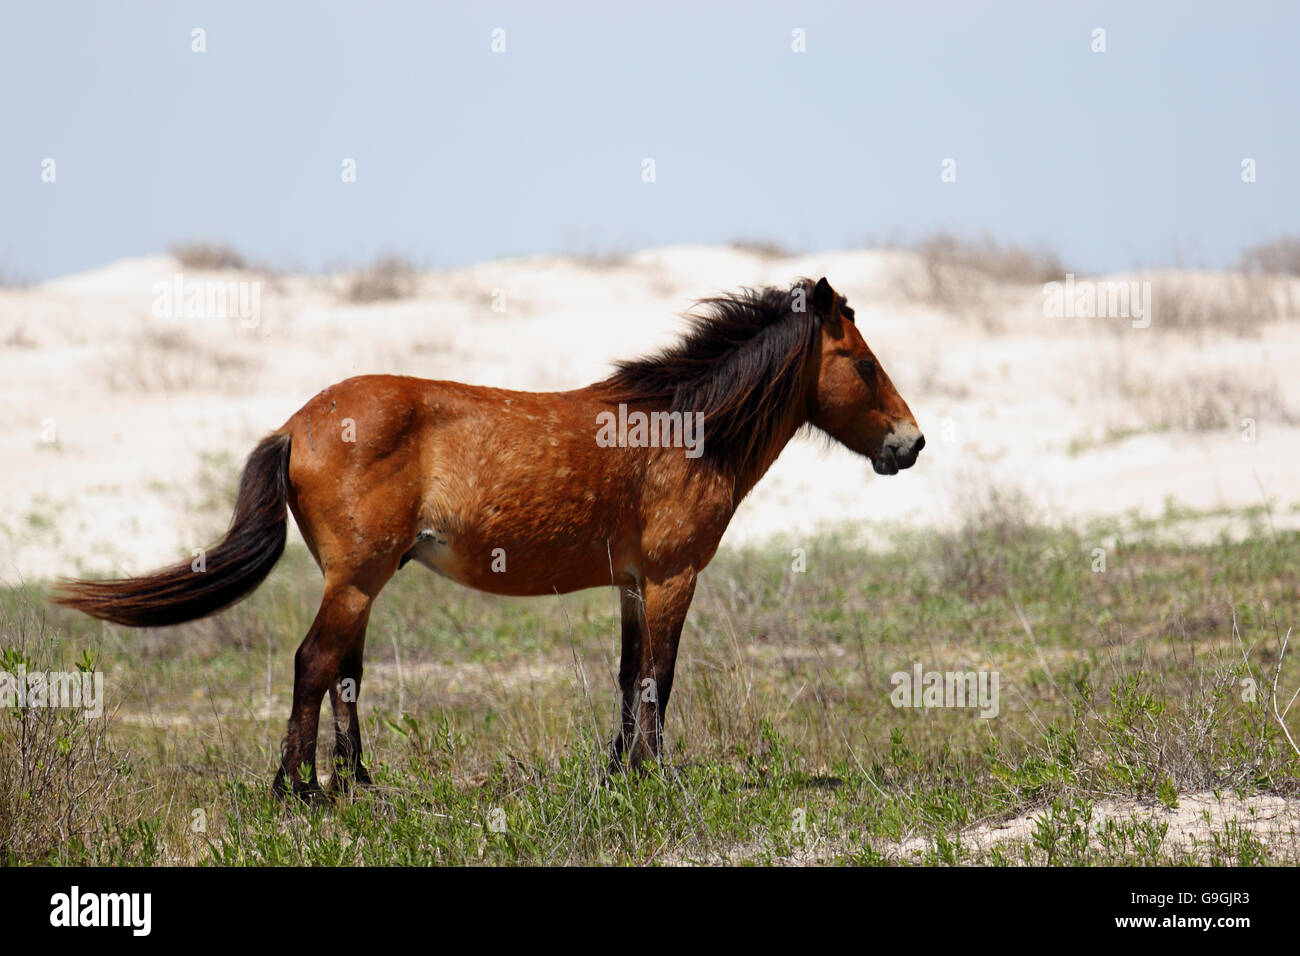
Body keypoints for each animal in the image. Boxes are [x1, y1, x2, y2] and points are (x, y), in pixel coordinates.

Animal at [53, 277, 925, 801]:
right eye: (863, 363)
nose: (910, 444)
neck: (682, 431)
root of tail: (296, 426)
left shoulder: (633, 584)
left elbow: (626, 676)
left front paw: (618, 773)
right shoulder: (673, 577)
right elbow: (660, 679)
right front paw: (655, 777)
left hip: (358, 582)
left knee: (343, 674)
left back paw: (360, 784)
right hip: (357, 579)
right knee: (313, 664)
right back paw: (298, 792)